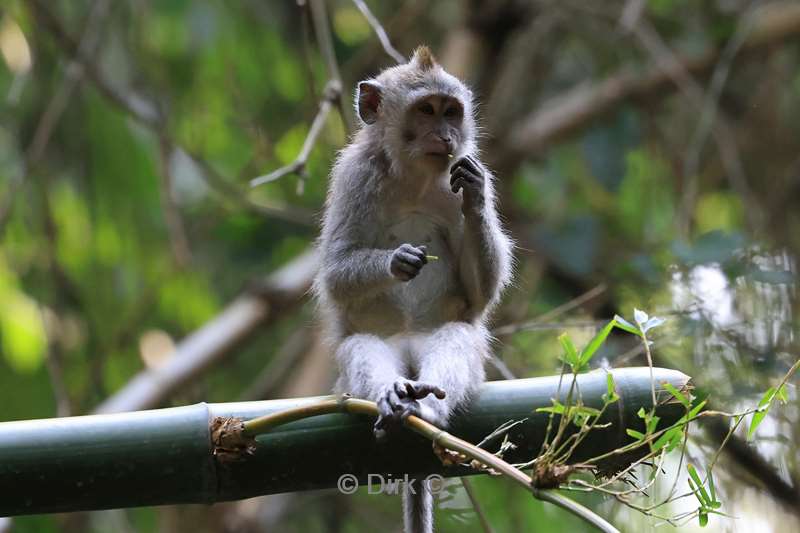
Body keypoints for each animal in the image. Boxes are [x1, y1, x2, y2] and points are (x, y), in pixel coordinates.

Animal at [314, 45, 512, 532]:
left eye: (451, 111)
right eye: (426, 110)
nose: (446, 135)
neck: (416, 179)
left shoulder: (464, 175)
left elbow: (479, 296)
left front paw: (475, 196)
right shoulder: (354, 177)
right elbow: (334, 272)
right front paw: (397, 262)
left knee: (457, 338)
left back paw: (424, 408)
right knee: (362, 346)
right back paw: (392, 396)